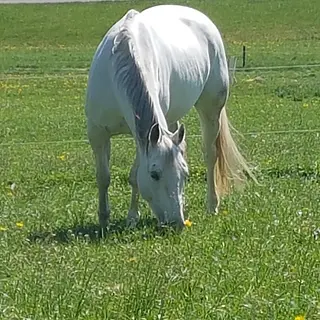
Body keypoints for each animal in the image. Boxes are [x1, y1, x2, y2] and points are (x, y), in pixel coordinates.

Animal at [84, 5, 255, 230]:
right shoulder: (97, 132)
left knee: (210, 155)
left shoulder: (144, 137)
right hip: (173, 121)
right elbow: (103, 176)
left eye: (185, 174)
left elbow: (134, 176)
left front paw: (132, 217)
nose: (177, 223)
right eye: (155, 174)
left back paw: (212, 205)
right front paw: (104, 219)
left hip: (210, 110)